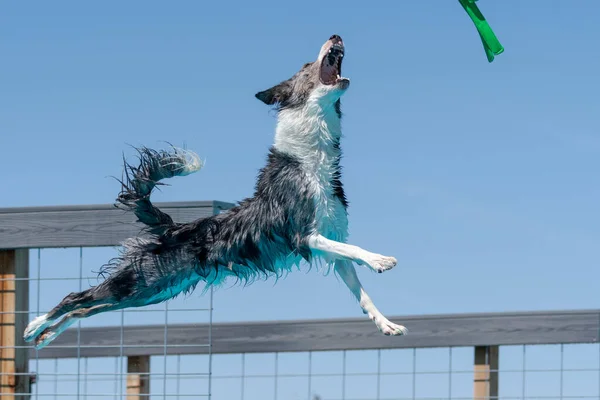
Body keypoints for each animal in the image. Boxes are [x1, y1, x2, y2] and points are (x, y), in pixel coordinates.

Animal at [23, 34, 408, 348]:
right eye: (305, 65)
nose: (336, 35)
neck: (309, 159)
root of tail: (173, 228)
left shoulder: (331, 239)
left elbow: (359, 286)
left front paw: (386, 325)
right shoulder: (303, 235)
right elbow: (355, 250)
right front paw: (381, 260)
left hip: (151, 291)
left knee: (87, 309)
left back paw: (46, 335)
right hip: (138, 281)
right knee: (75, 297)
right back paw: (34, 326)